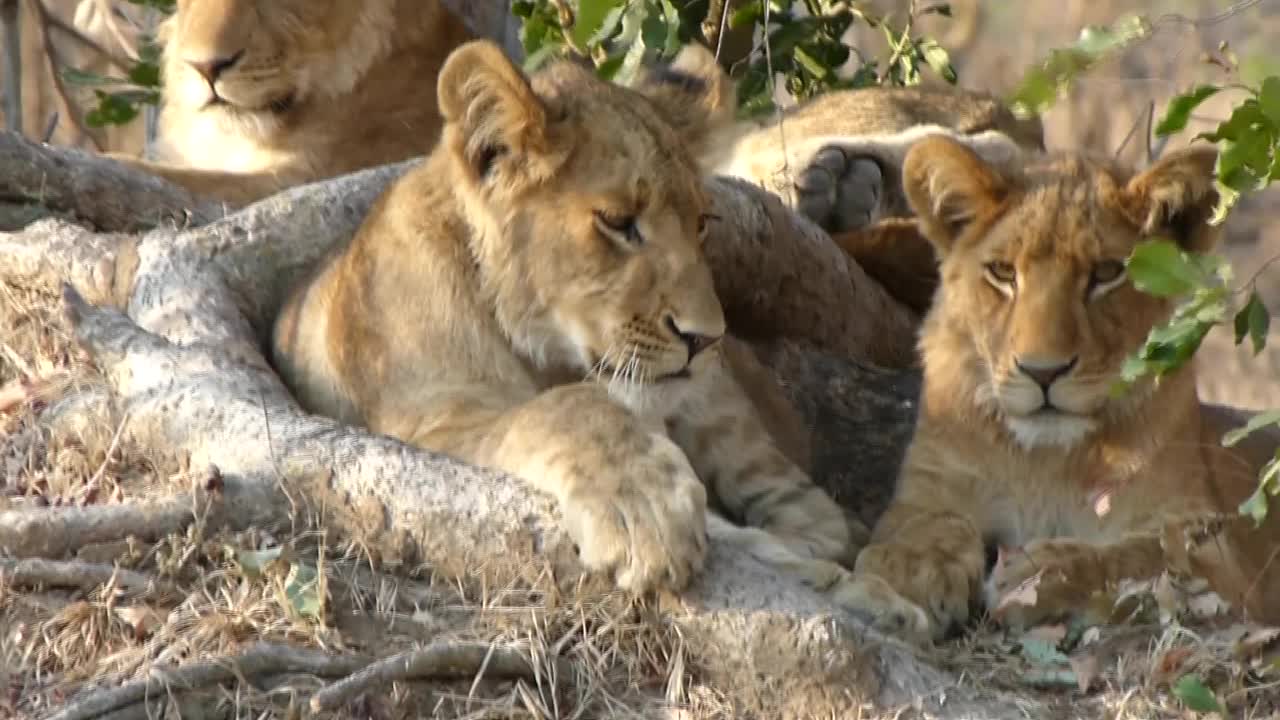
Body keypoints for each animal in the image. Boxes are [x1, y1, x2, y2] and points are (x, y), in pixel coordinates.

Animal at [270, 39, 890, 602]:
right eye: (617, 222)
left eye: (701, 224)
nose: (705, 337)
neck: (534, 347)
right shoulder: (418, 429)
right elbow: (564, 407)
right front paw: (645, 513)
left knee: (826, 522)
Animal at [834, 135, 1280, 645]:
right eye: (1002, 272)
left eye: (1106, 273)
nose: (1042, 372)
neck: (1044, 461)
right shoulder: (927, 488)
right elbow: (918, 527)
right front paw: (908, 574)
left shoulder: (1223, 558)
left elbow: (1139, 553)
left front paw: (1035, 571)